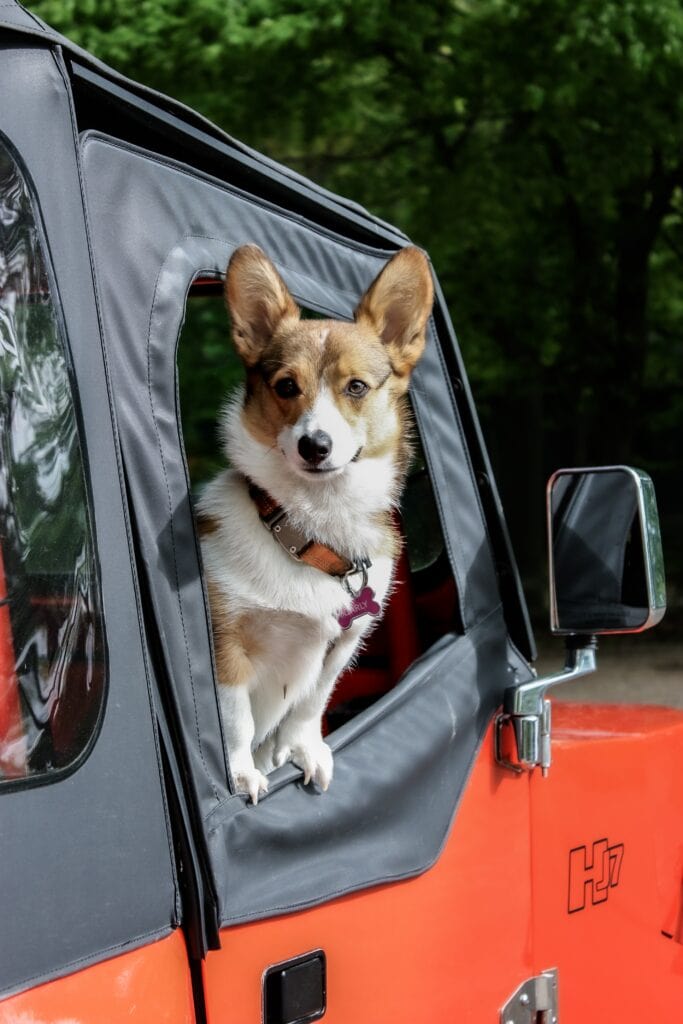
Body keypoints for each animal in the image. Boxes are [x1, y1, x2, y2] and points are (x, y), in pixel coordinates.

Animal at [197, 243, 432, 802]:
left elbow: (310, 704)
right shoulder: (226, 644)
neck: (311, 528)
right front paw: (240, 772)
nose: (315, 445)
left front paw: (302, 749)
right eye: (286, 386)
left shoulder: (341, 644)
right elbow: (235, 719)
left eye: (356, 387)